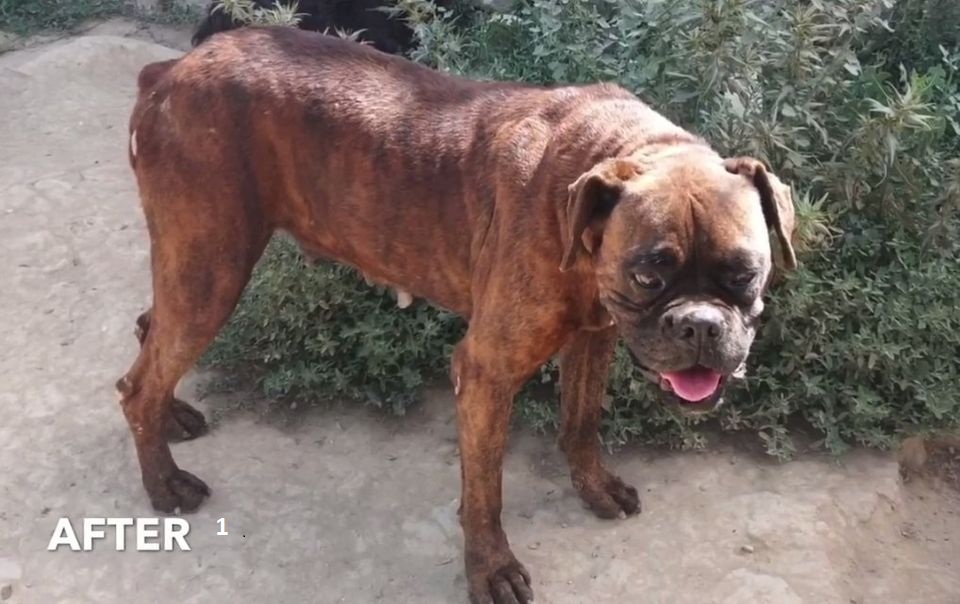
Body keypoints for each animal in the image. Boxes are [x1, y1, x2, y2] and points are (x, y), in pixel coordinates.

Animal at [119, 27, 797, 604]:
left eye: (744, 274)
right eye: (649, 275)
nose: (700, 325)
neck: (600, 165)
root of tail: (169, 71)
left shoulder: (592, 339)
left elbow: (581, 423)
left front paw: (593, 488)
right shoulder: (486, 374)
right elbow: (484, 493)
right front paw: (491, 569)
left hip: (195, 268)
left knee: (151, 336)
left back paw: (171, 416)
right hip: (211, 270)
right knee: (136, 384)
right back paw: (164, 484)